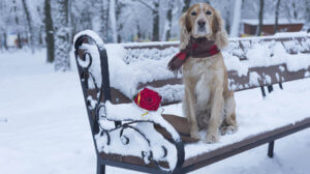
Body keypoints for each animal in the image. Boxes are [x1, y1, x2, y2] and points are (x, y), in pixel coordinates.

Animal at [170, 3, 237, 143]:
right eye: (193, 13)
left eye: (208, 13)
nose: (201, 22)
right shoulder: (189, 89)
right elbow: (192, 118)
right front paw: (194, 135)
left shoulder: (217, 88)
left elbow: (214, 116)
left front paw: (211, 136)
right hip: (184, 102)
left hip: (229, 97)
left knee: (232, 121)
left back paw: (227, 129)